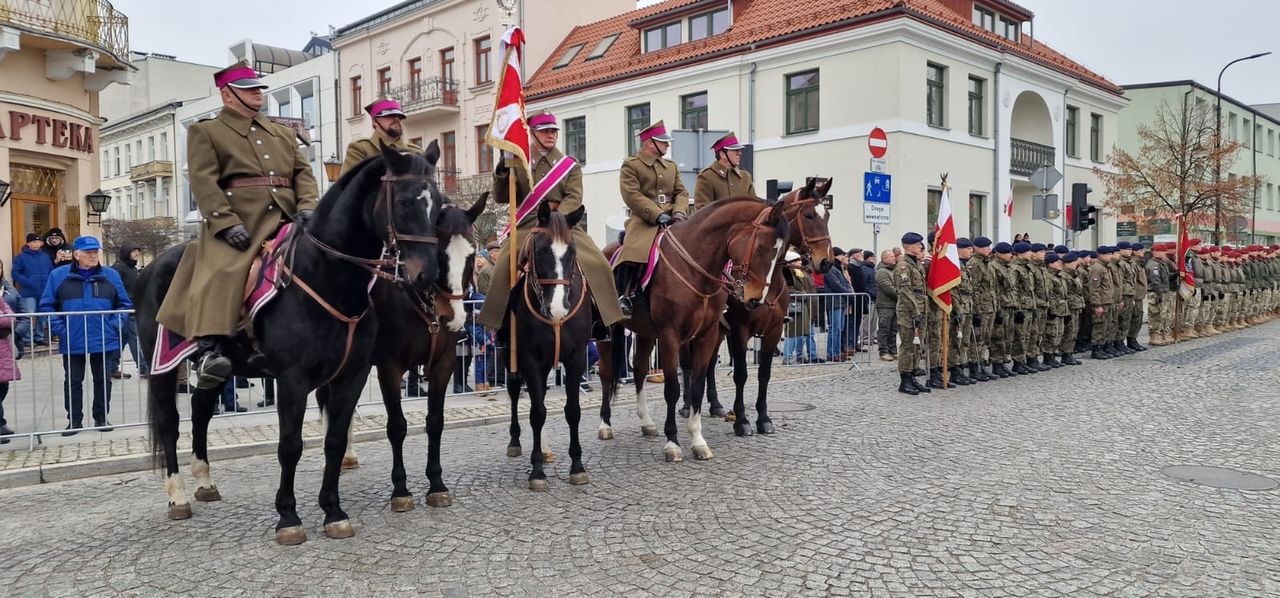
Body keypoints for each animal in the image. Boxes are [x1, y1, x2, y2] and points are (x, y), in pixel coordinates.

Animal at [140, 145, 448, 548]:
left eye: (437, 203)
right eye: (405, 201)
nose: (428, 277)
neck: (328, 274)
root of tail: (152, 265)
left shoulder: (351, 375)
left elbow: (334, 440)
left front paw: (333, 511)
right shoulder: (292, 380)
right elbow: (290, 445)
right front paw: (288, 517)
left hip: (219, 369)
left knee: (202, 411)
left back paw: (205, 481)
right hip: (162, 366)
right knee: (170, 423)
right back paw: (177, 496)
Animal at [317, 194, 486, 512]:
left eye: (470, 256)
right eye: (439, 254)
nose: (455, 318)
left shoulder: (443, 365)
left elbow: (435, 423)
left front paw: (436, 484)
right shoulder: (390, 368)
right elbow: (397, 427)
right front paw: (401, 490)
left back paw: (347, 455)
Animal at [504, 201, 593, 491]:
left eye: (572, 251)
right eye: (542, 249)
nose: (557, 308)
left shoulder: (576, 358)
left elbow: (573, 411)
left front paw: (577, 466)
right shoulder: (529, 358)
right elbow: (537, 412)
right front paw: (537, 471)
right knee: (514, 392)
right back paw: (516, 442)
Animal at [596, 197, 788, 463]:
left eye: (780, 252)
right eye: (761, 247)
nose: (755, 299)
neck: (696, 266)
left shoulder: (706, 336)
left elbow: (698, 385)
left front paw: (698, 441)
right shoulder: (670, 336)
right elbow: (672, 389)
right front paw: (673, 443)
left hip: (645, 333)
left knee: (640, 370)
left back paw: (647, 423)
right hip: (606, 332)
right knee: (606, 373)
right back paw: (605, 425)